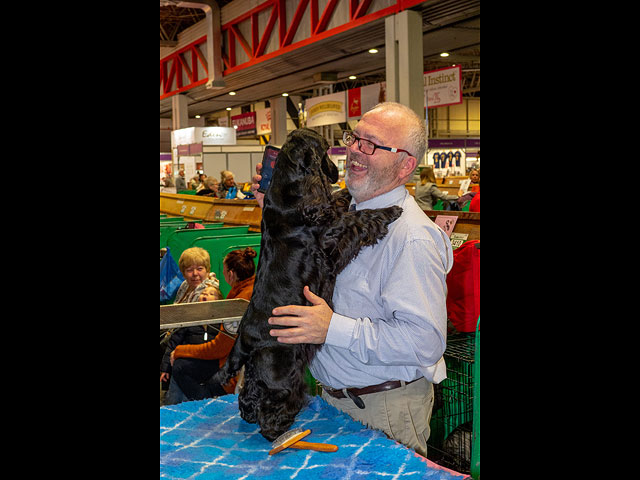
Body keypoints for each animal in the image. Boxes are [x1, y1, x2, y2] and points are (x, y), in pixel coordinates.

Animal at [215, 128, 400, 442]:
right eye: (326, 150)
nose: (336, 171)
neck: (289, 188)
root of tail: (243, 338)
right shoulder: (333, 235)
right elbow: (360, 217)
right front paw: (391, 209)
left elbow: (340, 202)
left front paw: (347, 191)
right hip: (281, 370)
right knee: (273, 405)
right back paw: (280, 434)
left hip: (258, 369)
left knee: (248, 396)